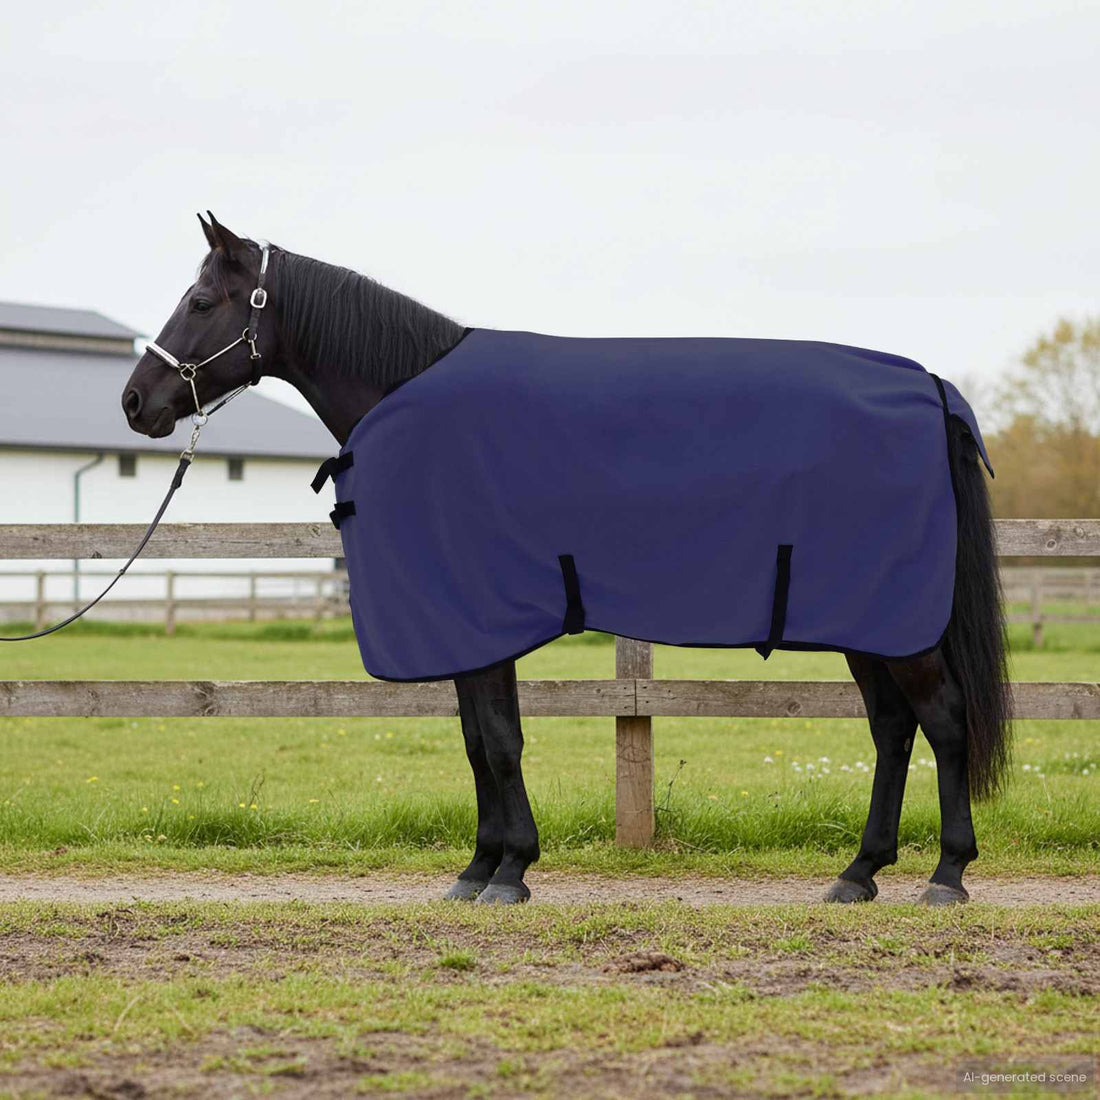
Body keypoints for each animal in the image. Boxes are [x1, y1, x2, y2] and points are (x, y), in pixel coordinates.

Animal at [121, 213, 1011, 906]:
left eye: (200, 301)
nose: (136, 402)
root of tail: (929, 388)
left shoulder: (481, 620)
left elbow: (500, 741)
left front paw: (510, 871)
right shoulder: (469, 629)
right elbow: (479, 740)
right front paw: (480, 867)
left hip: (896, 622)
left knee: (943, 720)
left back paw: (947, 875)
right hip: (867, 620)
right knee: (892, 729)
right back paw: (859, 873)